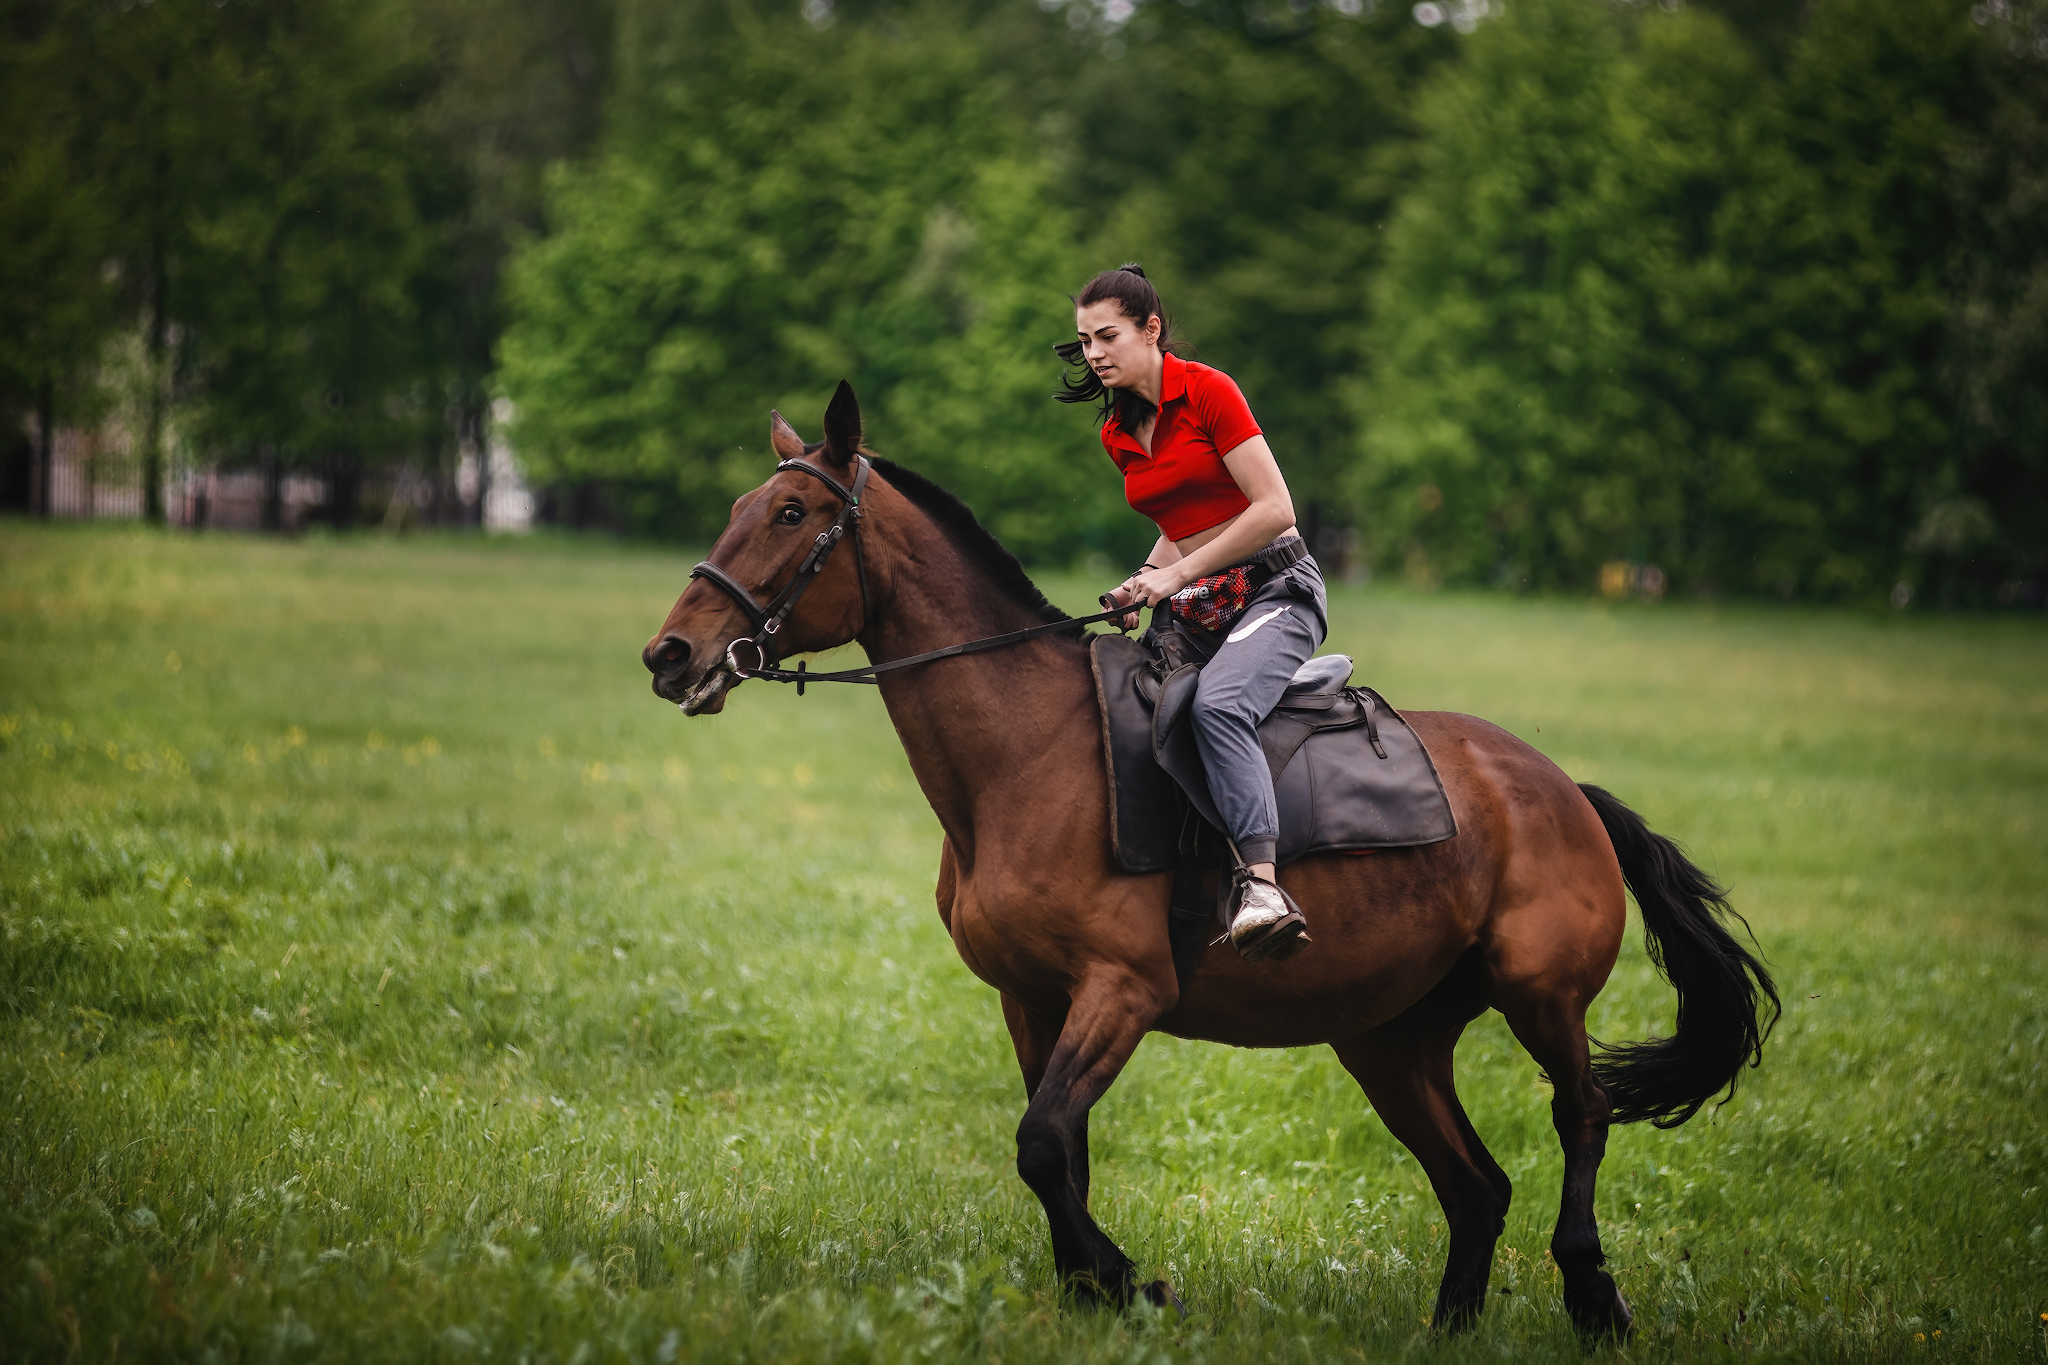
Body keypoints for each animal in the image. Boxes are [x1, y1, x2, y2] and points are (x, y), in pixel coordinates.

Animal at [638, 382, 1777, 1334]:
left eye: (791, 514)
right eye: (741, 504)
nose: (669, 655)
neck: (1027, 753)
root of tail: (1561, 788)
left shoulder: (1123, 987)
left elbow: (1041, 1143)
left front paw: (1130, 1285)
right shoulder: (1031, 999)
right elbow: (1059, 1152)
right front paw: (1092, 1293)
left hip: (1540, 995)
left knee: (1579, 1115)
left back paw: (1593, 1297)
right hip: (1390, 1039)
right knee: (1475, 1186)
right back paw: (1449, 1328)